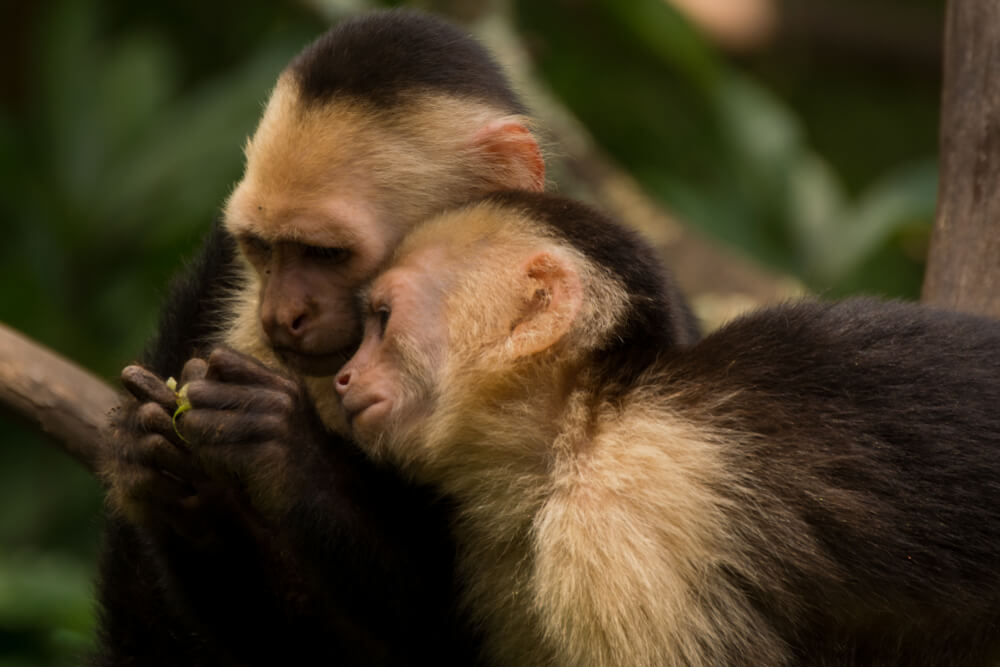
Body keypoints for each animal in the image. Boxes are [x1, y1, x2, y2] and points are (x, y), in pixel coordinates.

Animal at [88, 11, 600, 667]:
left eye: (326, 254)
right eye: (263, 247)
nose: (281, 314)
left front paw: (286, 451)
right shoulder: (218, 272)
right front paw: (171, 478)